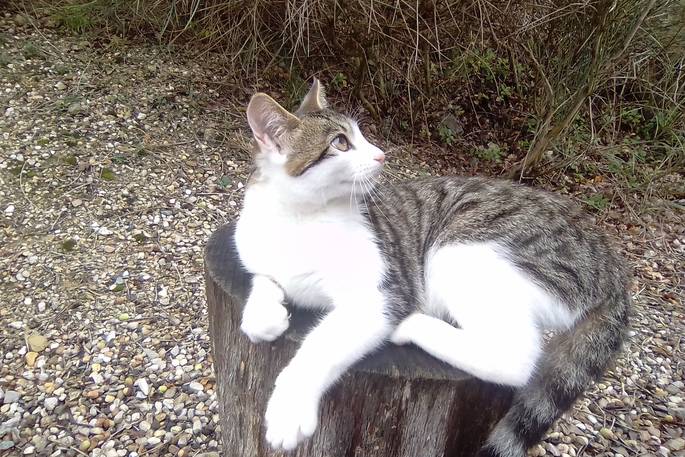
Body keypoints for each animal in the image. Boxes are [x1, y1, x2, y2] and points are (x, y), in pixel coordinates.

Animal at [232, 79, 628, 456]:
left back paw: (414, 324)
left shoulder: (382, 293)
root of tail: (611, 264)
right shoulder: (258, 259)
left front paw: (290, 407)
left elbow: (322, 344)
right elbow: (263, 282)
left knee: (516, 359)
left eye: (359, 136)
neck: (299, 218)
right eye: (341, 143)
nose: (380, 155)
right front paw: (264, 316)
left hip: (461, 248)